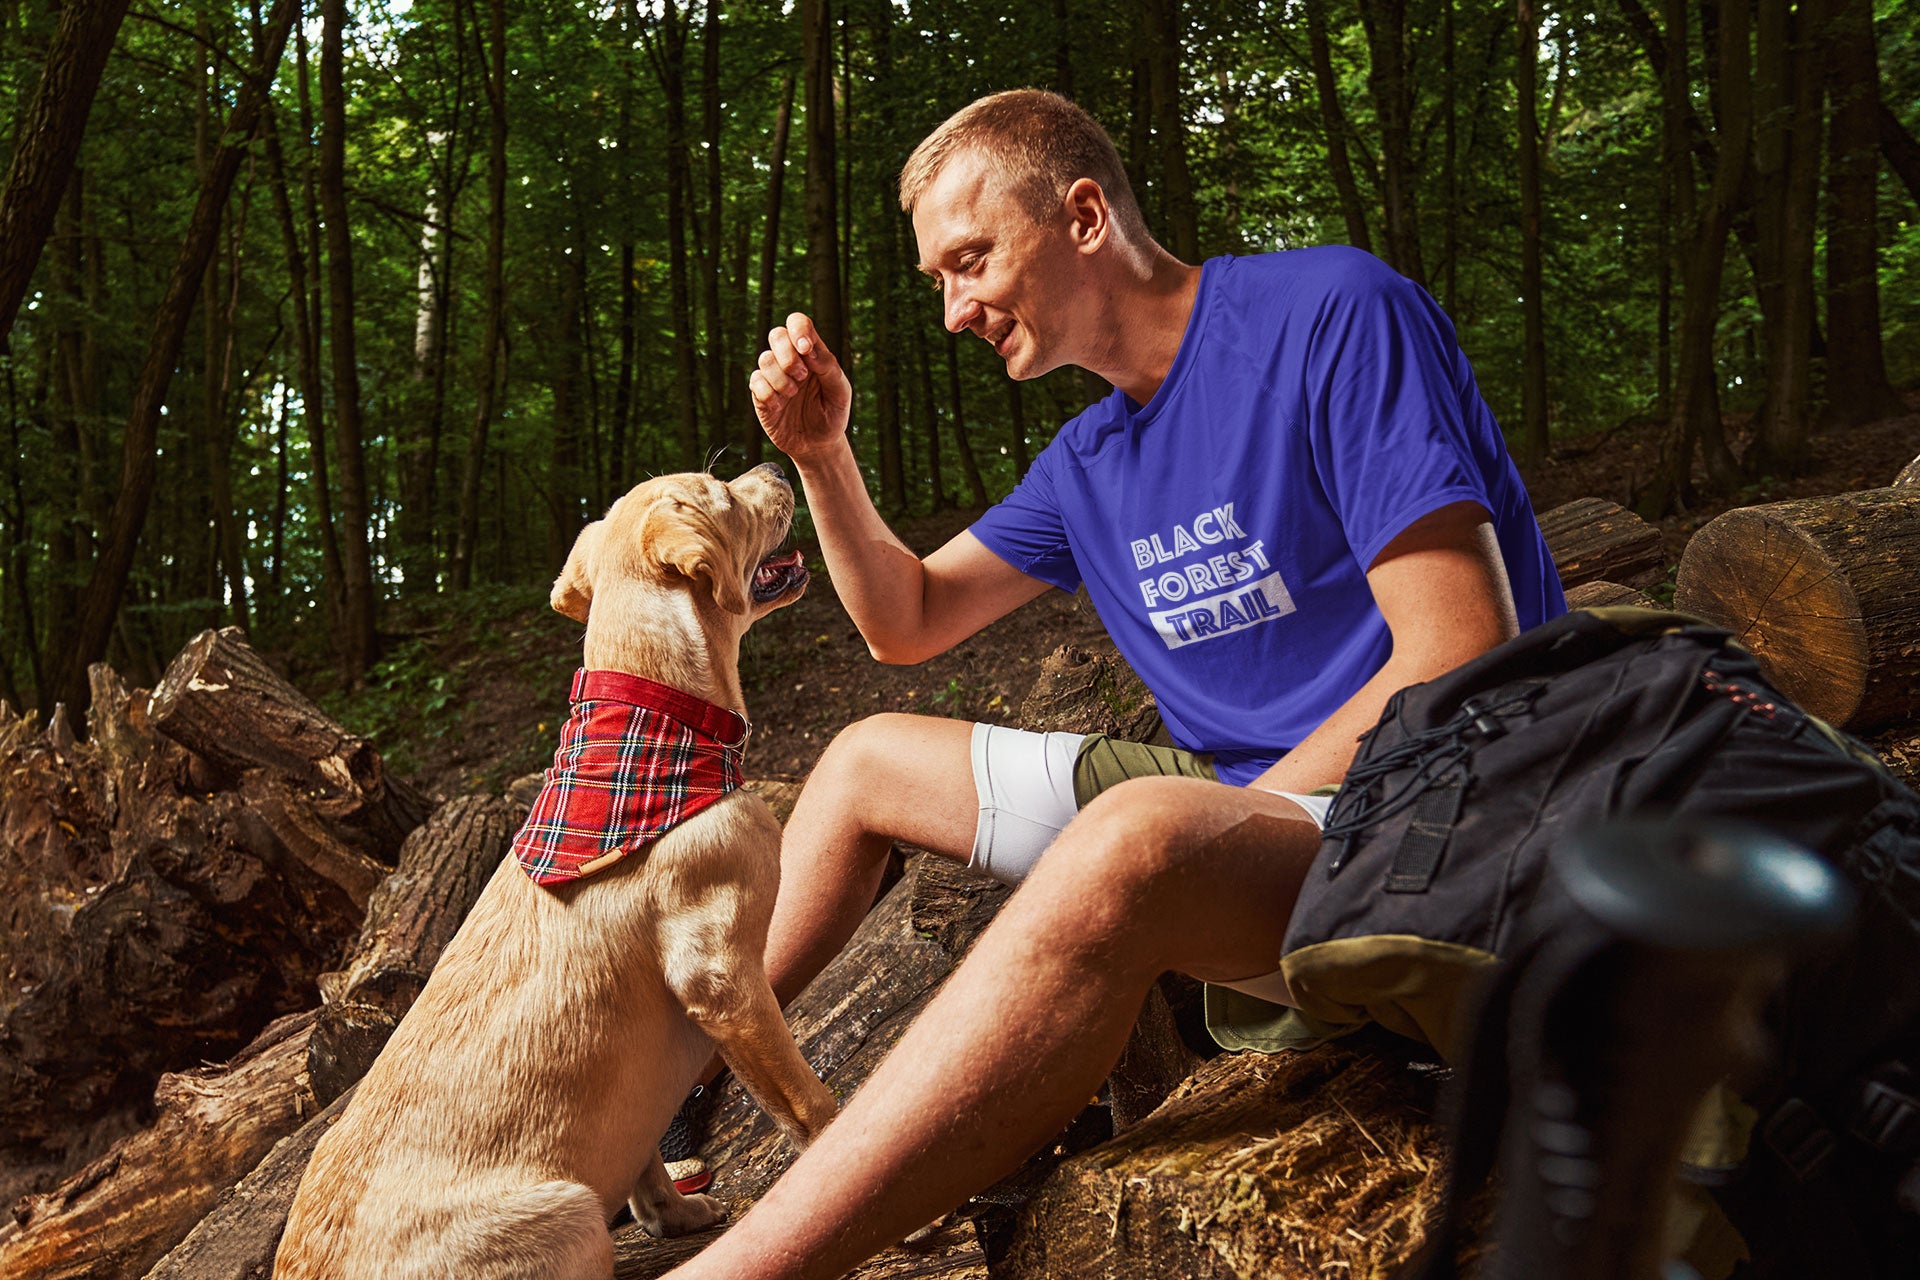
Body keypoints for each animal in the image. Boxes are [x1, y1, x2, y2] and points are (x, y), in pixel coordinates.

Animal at [276, 466, 833, 1274]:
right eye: (722, 493)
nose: (775, 469)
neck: (656, 727)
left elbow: (647, 1170)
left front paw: (676, 1212)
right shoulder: (724, 978)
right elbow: (809, 1102)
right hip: (569, 1212)